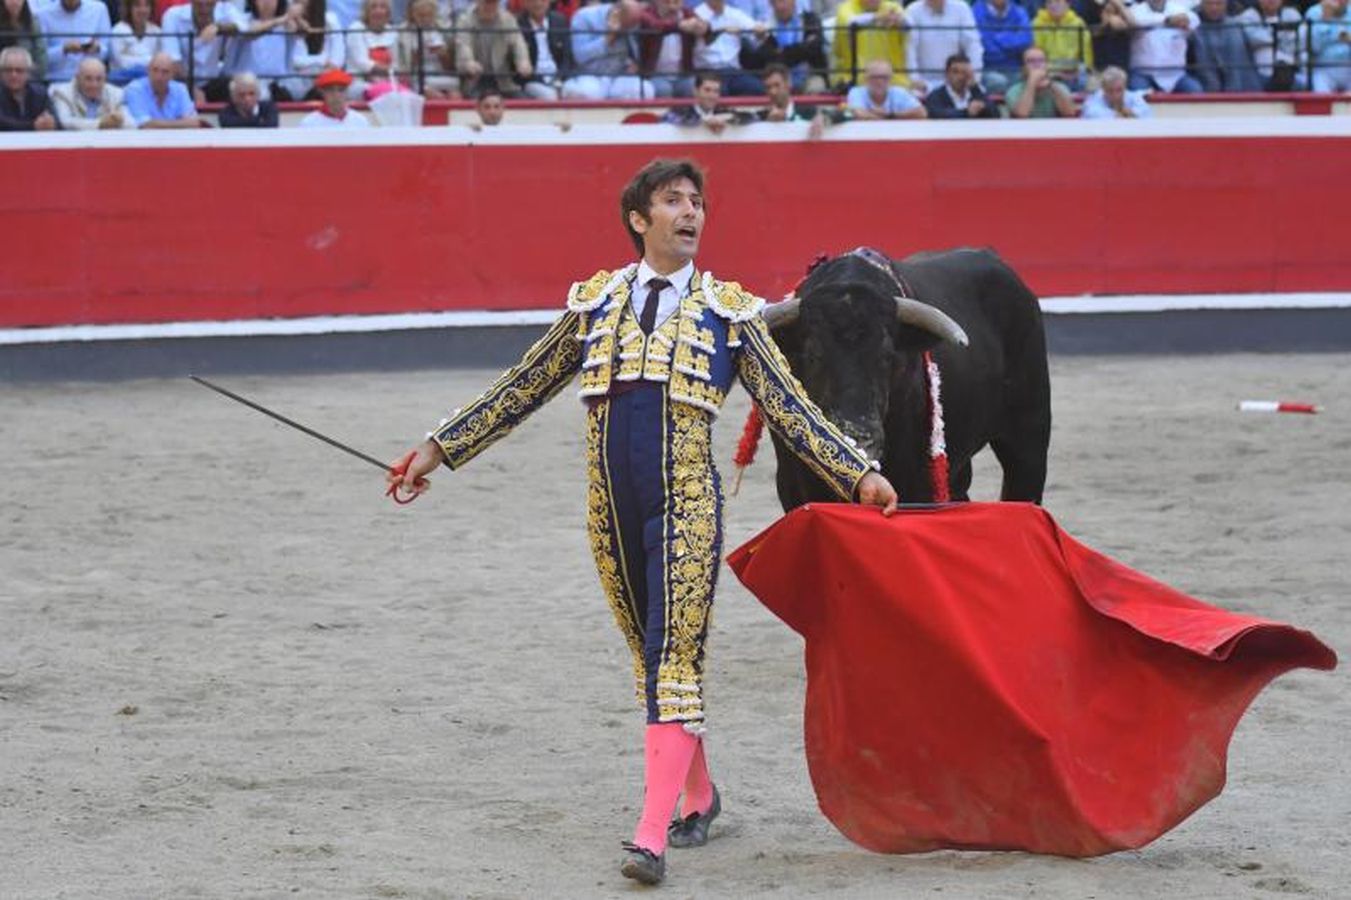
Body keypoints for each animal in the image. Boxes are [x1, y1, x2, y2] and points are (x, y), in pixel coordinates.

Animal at [767, 245, 1048, 510]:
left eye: (887, 356)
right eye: (812, 356)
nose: (859, 439)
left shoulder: (917, 480)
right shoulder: (793, 484)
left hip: (1029, 435)